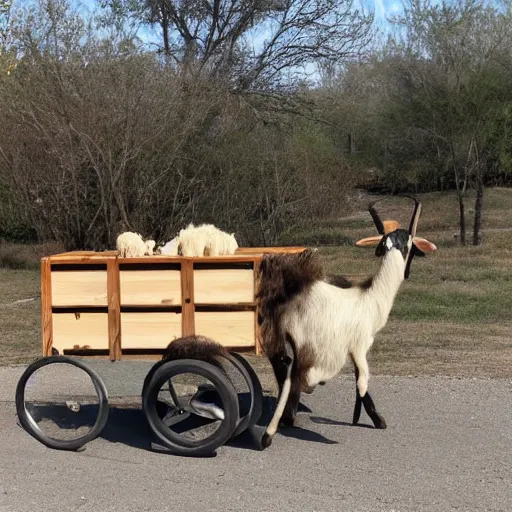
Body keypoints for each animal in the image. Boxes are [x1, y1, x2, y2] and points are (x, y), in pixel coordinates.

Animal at [256, 198, 436, 446]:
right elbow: (362, 380)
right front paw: (378, 420)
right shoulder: (360, 346)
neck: (369, 298)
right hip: (308, 345)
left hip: (278, 339)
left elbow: (358, 380)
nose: (408, 273)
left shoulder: (351, 349)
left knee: (284, 368)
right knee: (297, 375)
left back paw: (276, 426)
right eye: (413, 247)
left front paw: (364, 417)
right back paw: (276, 427)